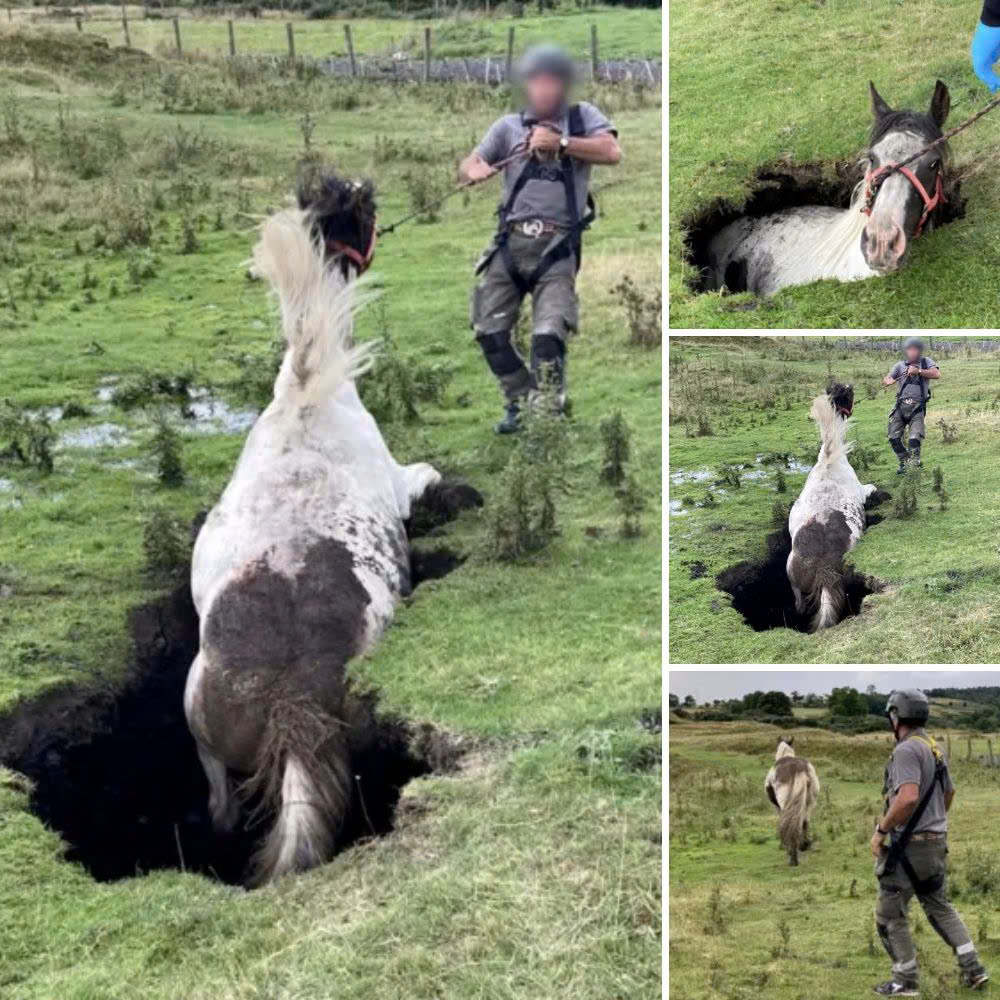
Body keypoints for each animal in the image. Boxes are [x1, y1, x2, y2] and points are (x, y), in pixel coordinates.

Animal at [188, 172, 484, 884]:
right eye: (364, 209)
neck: (308, 395)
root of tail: (293, 699)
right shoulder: (400, 480)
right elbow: (429, 475)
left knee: (222, 807)